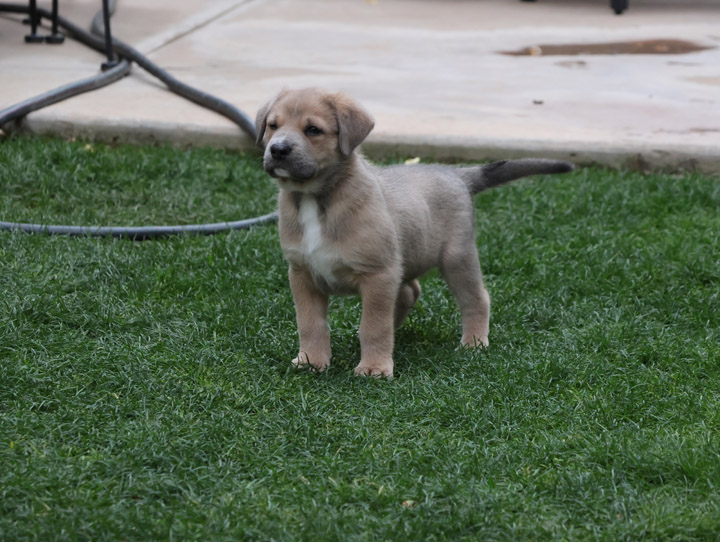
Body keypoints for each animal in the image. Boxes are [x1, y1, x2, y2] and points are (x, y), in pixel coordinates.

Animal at [256, 88, 572, 378]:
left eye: (313, 130)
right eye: (273, 125)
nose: (278, 150)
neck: (316, 200)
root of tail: (456, 174)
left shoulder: (378, 273)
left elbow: (373, 325)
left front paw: (373, 367)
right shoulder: (302, 274)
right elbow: (310, 324)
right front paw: (311, 361)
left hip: (457, 258)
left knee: (477, 299)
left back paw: (473, 342)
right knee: (408, 292)